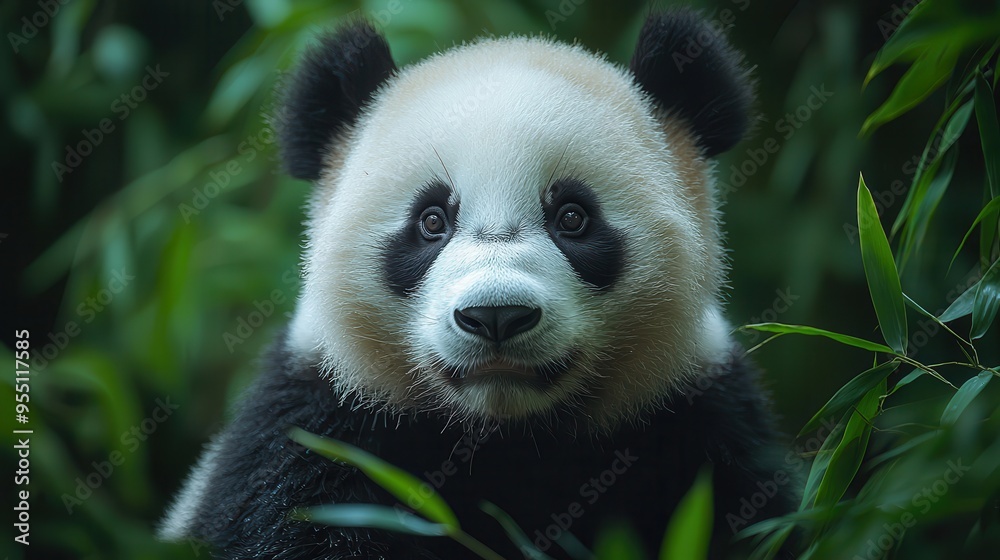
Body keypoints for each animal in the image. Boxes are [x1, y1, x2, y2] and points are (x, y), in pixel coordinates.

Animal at [160, 10, 795, 560]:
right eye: (431, 220)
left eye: (572, 217)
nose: (496, 316)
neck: (505, 435)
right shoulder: (318, 425)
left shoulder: (697, 416)